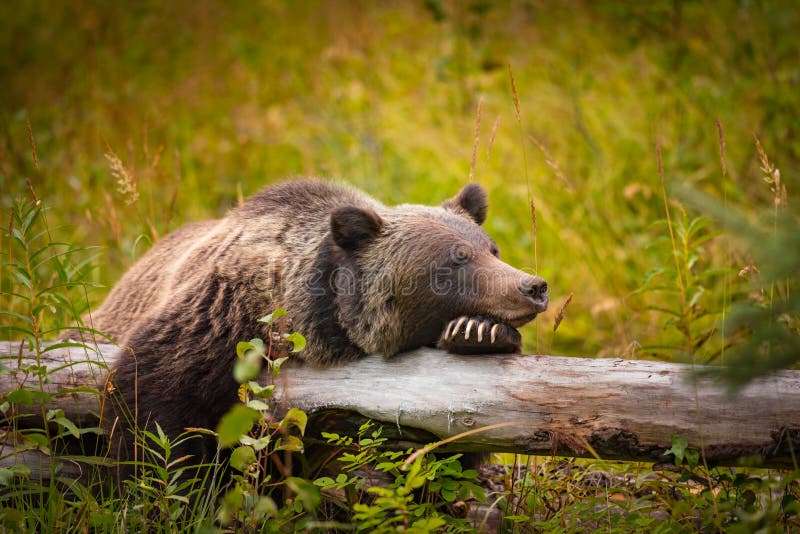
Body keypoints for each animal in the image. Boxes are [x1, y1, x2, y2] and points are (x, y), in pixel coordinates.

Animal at [90, 181, 548, 474]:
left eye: (491, 249)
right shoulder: (222, 316)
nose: (533, 286)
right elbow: (151, 394)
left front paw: (478, 333)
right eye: (456, 259)